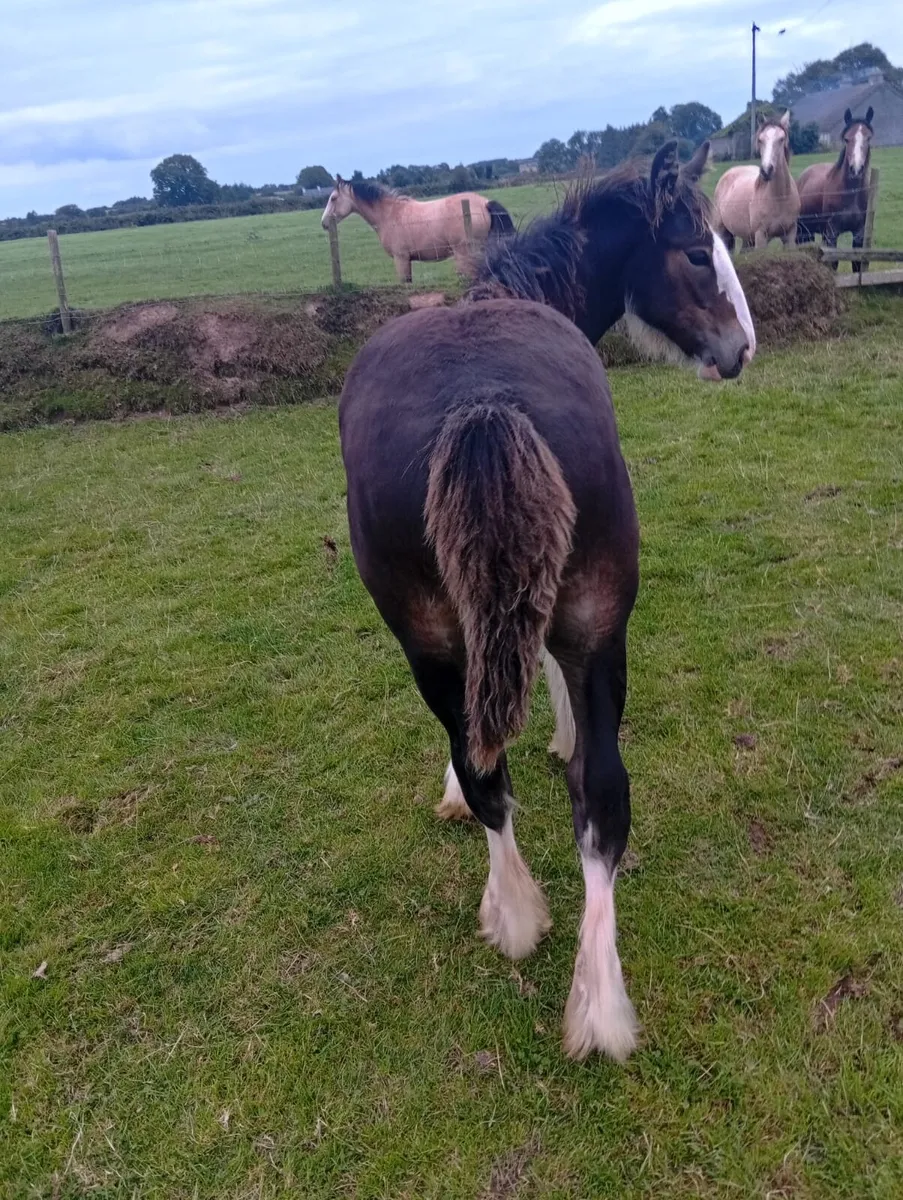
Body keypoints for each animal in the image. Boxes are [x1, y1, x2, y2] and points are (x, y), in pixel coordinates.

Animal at [321, 176, 515, 283]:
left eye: (333, 198)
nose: (324, 223)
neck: (389, 214)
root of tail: (484, 203)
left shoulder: (401, 259)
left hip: (465, 254)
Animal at [712, 112, 800, 251]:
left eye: (781, 139)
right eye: (760, 140)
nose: (766, 171)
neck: (779, 198)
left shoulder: (790, 236)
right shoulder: (760, 237)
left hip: (747, 238)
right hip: (722, 231)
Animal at [796, 107, 874, 273]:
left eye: (868, 138)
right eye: (846, 139)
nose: (856, 170)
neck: (850, 194)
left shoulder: (859, 232)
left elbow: (856, 263)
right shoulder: (832, 232)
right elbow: (833, 263)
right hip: (802, 230)